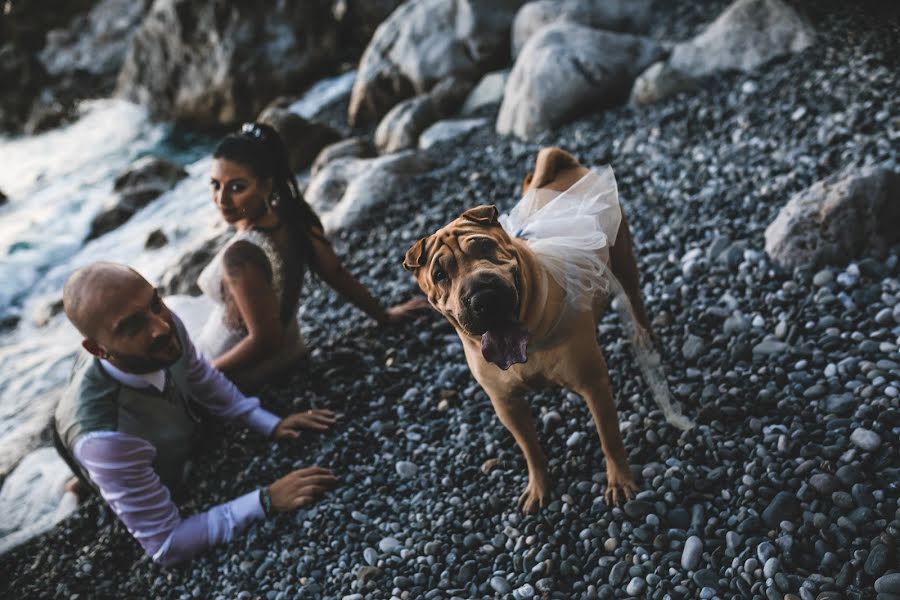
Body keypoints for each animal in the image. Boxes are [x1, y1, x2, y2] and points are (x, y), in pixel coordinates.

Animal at [404, 145, 664, 510]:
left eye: (485, 246)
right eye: (440, 274)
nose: (482, 295)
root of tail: (566, 167)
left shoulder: (594, 386)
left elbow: (609, 436)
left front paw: (619, 481)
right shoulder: (507, 405)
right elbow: (529, 448)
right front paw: (539, 486)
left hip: (624, 260)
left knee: (635, 299)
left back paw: (644, 335)